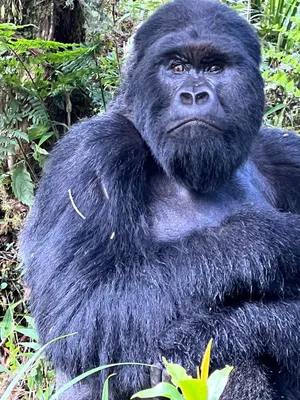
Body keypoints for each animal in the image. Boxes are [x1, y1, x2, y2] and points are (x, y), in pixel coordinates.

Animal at [21, 0, 300, 400]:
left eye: (214, 68)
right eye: (177, 67)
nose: (195, 95)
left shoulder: (287, 153)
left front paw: (212, 334)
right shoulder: (89, 153)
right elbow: (78, 313)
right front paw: (271, 239)